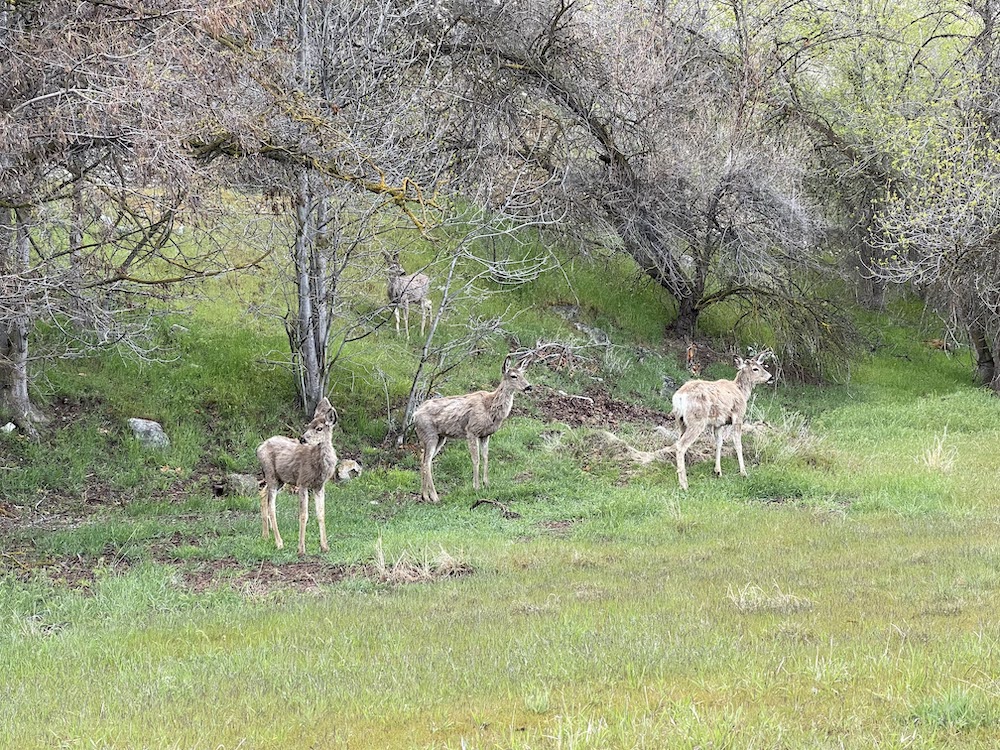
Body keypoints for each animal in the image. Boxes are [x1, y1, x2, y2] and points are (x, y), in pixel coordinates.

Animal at [256, 397, 339, 555]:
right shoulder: (302, 482)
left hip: (279, 479)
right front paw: (301, 549)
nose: (302, 439)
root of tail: (259, 448)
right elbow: (303, 514)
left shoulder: (319, 486)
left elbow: (321, 514)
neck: (319, 466)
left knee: (262, 493)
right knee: (271, 505)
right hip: (271, 474)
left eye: (319, 428)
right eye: (308, 426)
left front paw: (325, 547)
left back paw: (265, 535)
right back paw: (279, 542)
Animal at [413, 354, 532, 503]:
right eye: (513, 376)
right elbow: (476, 459)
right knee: (427, 462)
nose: (529, 387)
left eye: (523, 374)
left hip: (439, 437)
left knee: (423, 460)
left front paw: (487, 483)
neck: (491, 408)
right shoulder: (471, 431)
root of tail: (414, 414)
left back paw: (424, 496)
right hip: (430, 435)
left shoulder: (485, 435)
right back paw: (434, 497)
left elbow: (486, 457)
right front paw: (476, 486)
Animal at [671, 351, 772, 490]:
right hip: (697, 420)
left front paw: (718, 471)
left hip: (680, 421)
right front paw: (743, 472)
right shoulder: (738, 416)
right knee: (681, 445)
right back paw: (684, 484)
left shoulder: (718, 423)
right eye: (755, 368)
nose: (770, 377)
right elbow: (737, 443)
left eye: (762, 365)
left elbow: (719, 443)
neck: (742, 392)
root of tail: (679, 397)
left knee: (678, 442)